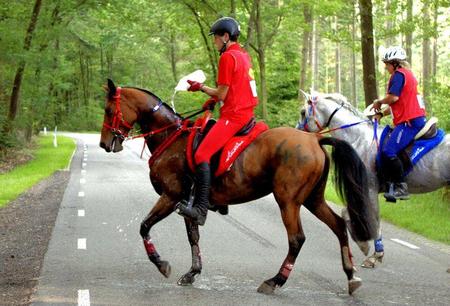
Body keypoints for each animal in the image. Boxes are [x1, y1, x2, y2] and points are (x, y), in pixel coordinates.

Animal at [99, 79, 380, 294]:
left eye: (109, 109)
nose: (104, 143)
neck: (171, 136)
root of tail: (314, 140)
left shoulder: (171, 196)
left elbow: (144, 226)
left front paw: (161, 263)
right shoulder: (188, 204)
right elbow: (193, 237)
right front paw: (192, 272)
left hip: (288, 201)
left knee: (297, 239)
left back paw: (275, 280)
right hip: (313, 199)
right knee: (339, 226)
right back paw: (351, 276)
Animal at [296, 91, 450, 268]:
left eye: (303, 112)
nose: (297, 132)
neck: (359, 138)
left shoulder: (369, 188)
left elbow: (373, 218)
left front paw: (374, 254)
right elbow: (347, 212)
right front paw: (365, 245)